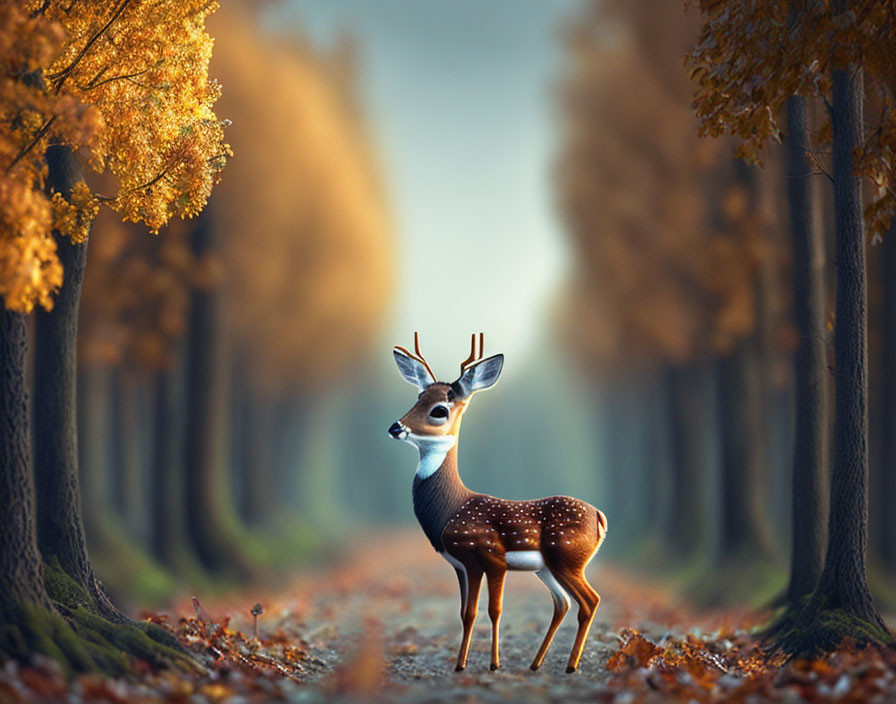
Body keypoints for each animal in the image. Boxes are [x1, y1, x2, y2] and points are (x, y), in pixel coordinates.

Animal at [386, 332, 608, 672]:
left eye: (439, 409)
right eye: (417, 398)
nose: (395, 427)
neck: (451, 509)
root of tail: (600, 517)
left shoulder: (489, 556)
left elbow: (491, 610)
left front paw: (490, 664)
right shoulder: (461, 565)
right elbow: (466, 613)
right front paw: (462, 663)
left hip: (568, 556)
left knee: (589, 600)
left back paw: (570, 666)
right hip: (547, 567)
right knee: (562, 603)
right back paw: (535, 664)